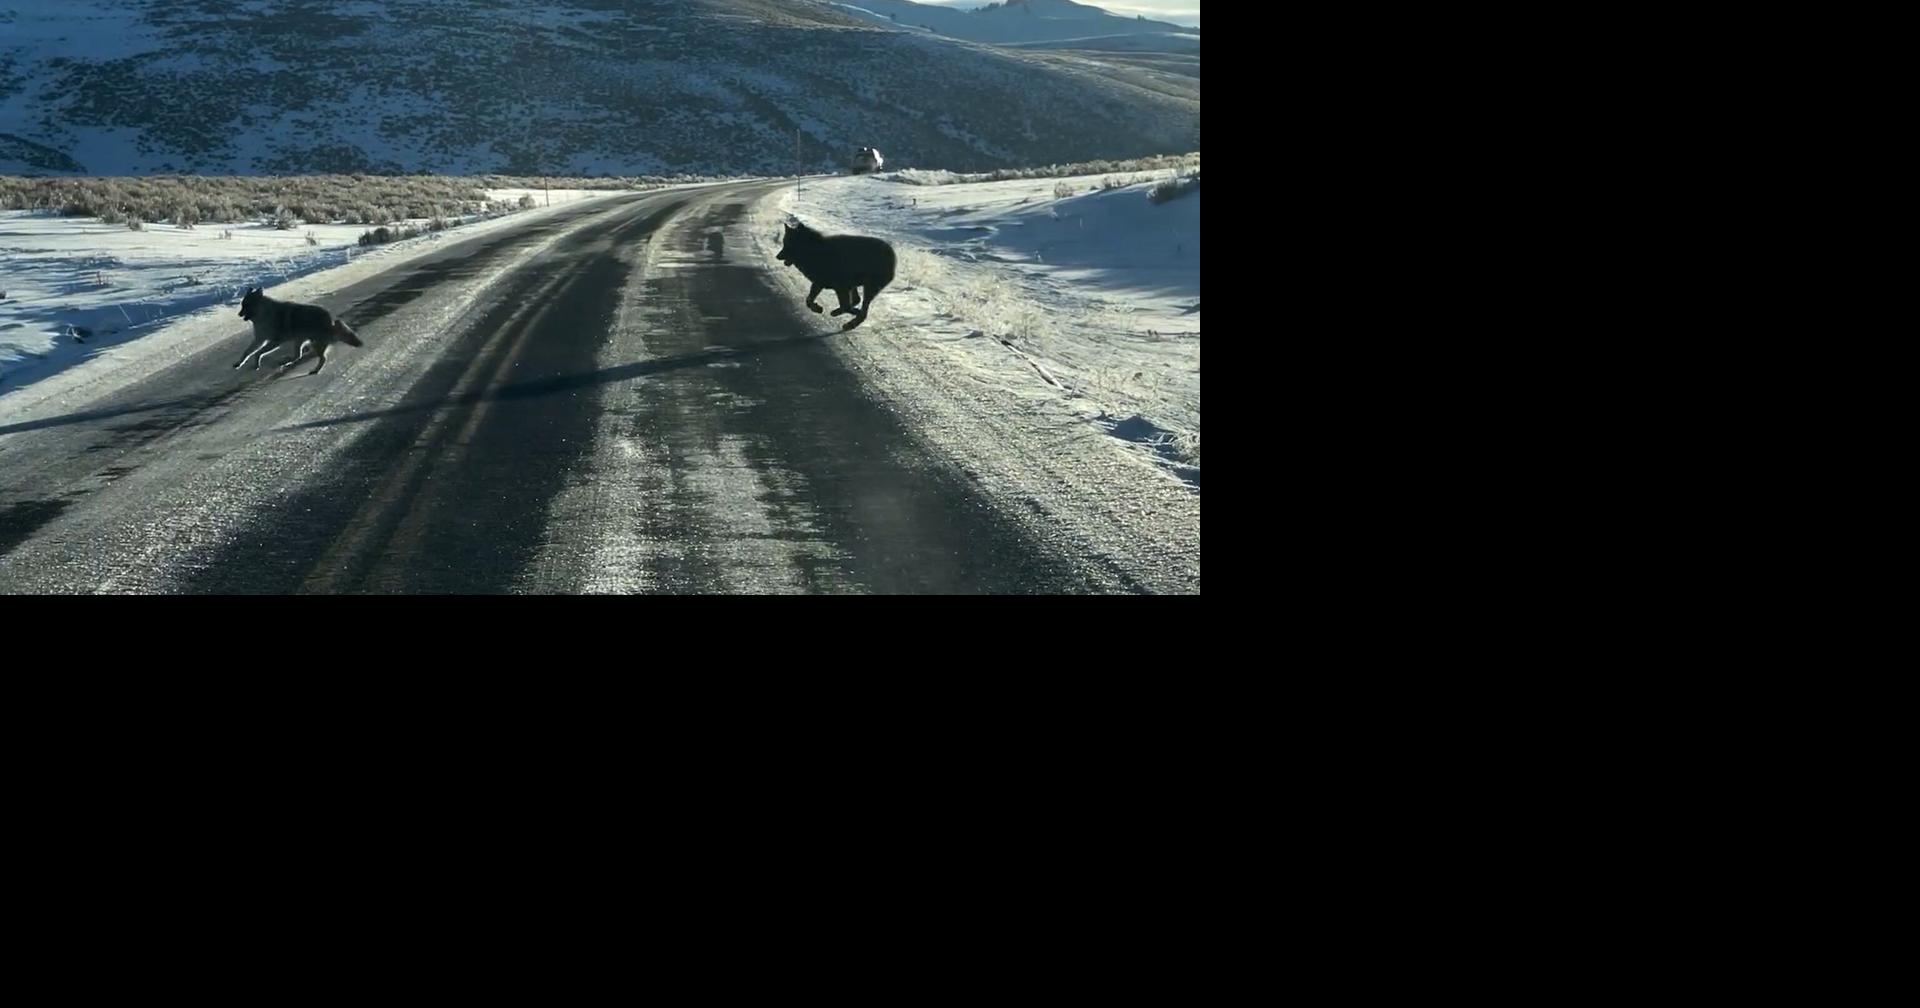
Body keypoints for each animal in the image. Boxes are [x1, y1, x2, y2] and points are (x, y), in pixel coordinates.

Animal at [232, 286, 363, 375]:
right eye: (242, 305)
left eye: (246, 305)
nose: (239, 314)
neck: (264, 313)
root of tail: (331, 322)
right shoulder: (260, 339)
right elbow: (247, 352)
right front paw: (240, 363)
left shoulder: (275, 341)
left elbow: (258, 353)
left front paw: (256, 362)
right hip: (299, 341)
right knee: (298, 356)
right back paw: (286, 362)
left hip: (314, 344)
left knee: (322, 358)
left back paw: (315, 370)